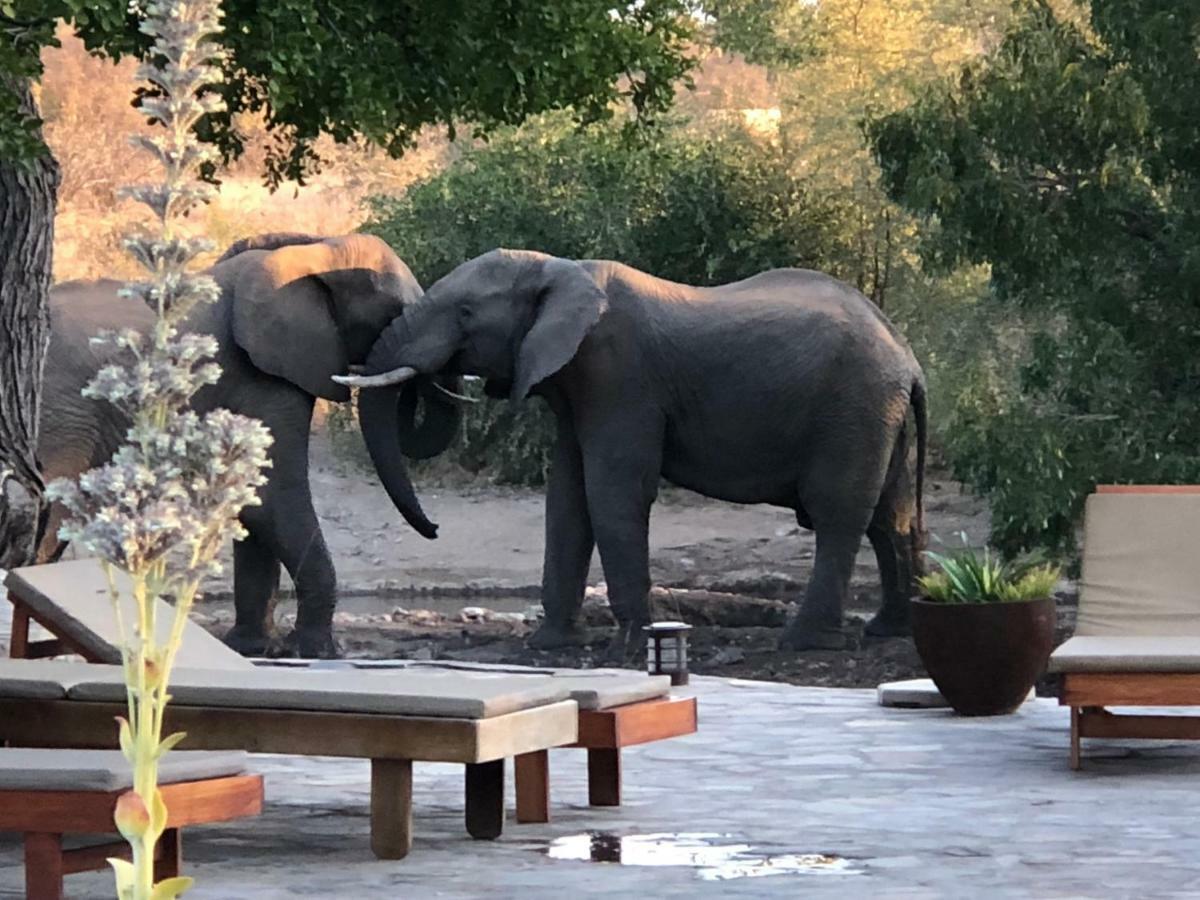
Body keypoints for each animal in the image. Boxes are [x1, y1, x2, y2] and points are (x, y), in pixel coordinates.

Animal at [38, 229, 463, 657]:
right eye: (394, 312)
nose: (435, 528)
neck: (312, 249)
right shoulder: (265, 377)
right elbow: (272, 498)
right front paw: (316, 651)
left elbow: (253, 501)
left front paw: (254, 648)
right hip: (61, 417)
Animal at [338, 247, 926, 662]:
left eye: (465, 313)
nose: (435, 529)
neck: (560, 270)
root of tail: (908, 358)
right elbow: (567, 500)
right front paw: (551, 646)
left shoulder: (619, 376)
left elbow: (612, 494)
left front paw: (630, 647)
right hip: (877, 412)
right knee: (892, 517)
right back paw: (889, 628)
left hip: (854, 406)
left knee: (838, 512)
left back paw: (802, 642)